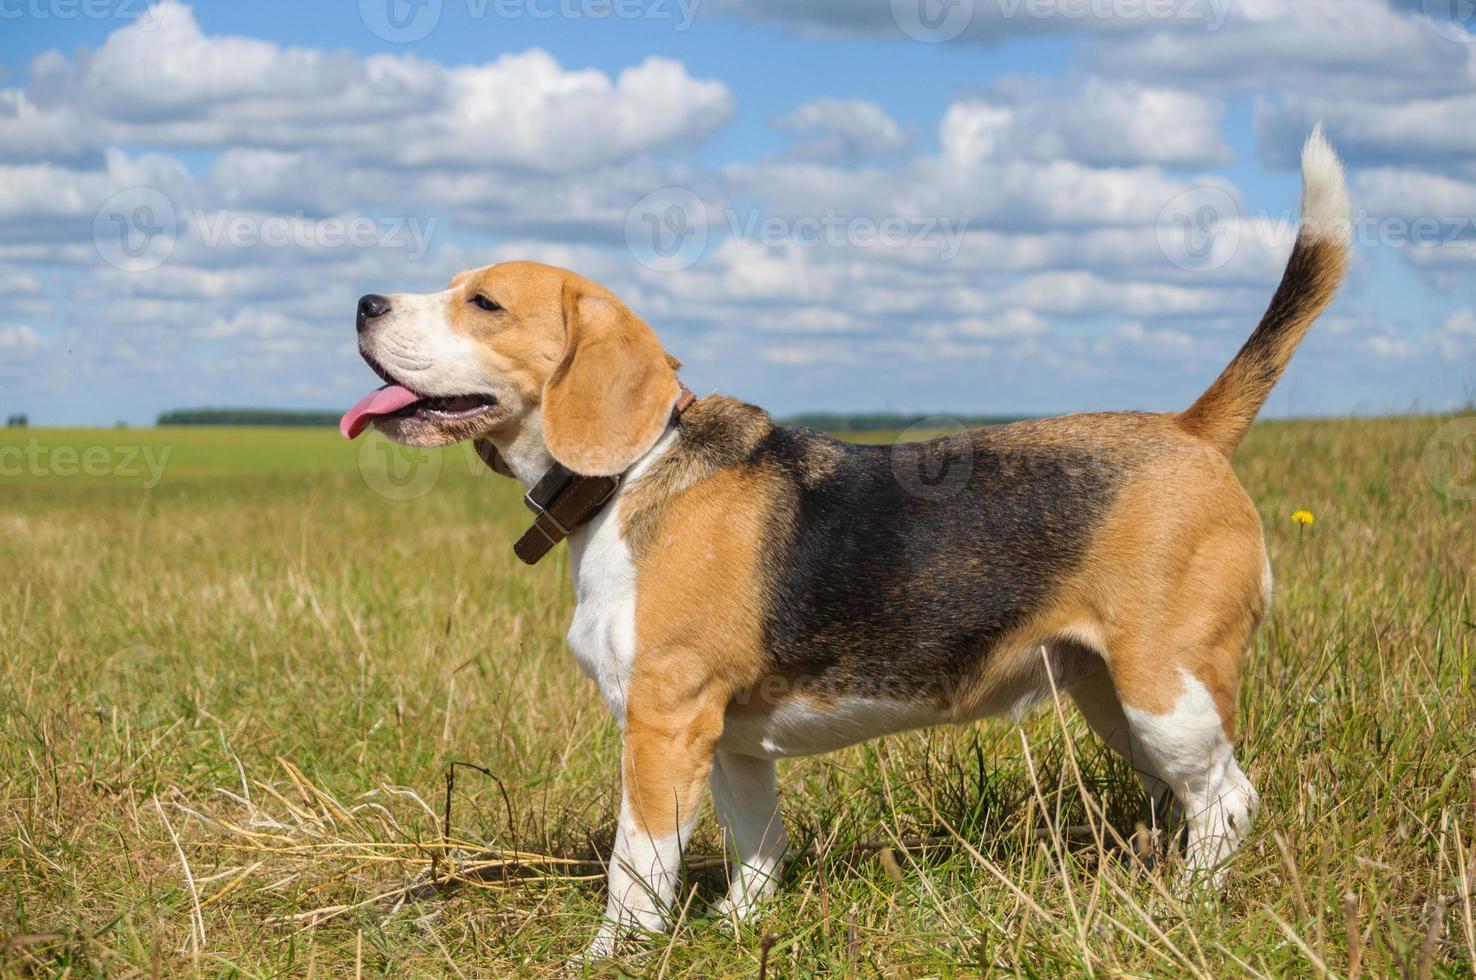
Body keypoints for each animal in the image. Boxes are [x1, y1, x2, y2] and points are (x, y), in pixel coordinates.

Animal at [342, 129, 1352, 956]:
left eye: (483, 302)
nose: (363, 302)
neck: (630, 473)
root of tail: (1189, 430)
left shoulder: (663, 720)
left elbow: (638, 865)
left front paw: (608, 956)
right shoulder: (731, 741)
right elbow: (757, 844)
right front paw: (741, 929)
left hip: (1168, 688)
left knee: (1228, 803)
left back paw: (1186, 908)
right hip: (1116, 696)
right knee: (1186, 800)